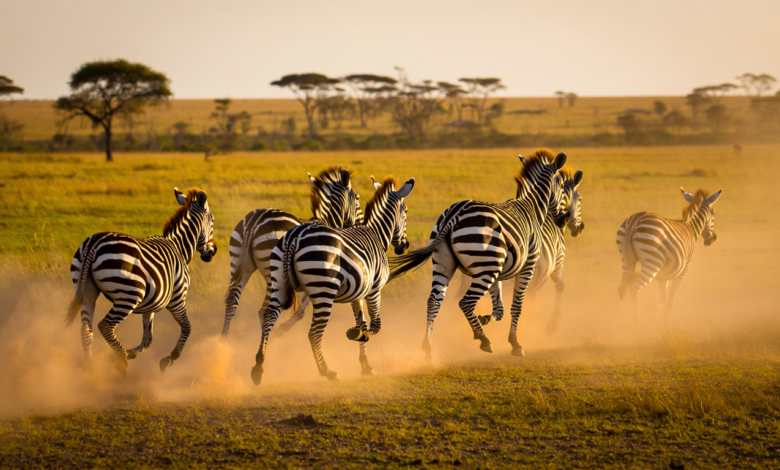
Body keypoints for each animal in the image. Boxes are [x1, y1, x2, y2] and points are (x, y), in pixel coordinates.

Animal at [66, 188, 217, 376]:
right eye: (212, 220)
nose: (213, 252)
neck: (180, 249)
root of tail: (94, 243)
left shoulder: (150, 305)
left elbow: (147, 339)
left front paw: (129, 353)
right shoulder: (178, 298)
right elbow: (187, 326)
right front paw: (169, 359)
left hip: (87, 289)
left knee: (86, 330)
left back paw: (91, 368)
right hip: (128, 295)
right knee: (105, 325)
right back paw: (121, 360)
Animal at [222, 167, 362, 337]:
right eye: (357, 198)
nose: (360, 224)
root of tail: (255, 221)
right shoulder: (317, 274)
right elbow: (301, 311)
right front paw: (283, 329)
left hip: (240, 264)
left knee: (232, 302)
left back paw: (223, 340)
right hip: (273, 272)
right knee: (264, 310)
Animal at [250, 176, 415, 385]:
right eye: (406, 211)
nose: (405, 246)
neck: (377, 234)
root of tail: (295, 236)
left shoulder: (357, 293)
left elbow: (362, 322)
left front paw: (365, 363)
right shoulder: (374, 289)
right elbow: (376, 324)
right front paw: (360, 337)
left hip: (279, 282)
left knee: (268, 316)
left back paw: (259, 367)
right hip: (324, 291)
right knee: (314, 333)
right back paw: (327, 371)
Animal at [389, 149, 568, 359]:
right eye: (562, 186)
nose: (563, 220)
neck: (532, 207)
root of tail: (454, 214)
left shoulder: (498, 271)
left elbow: (499, 309)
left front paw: (484, 319)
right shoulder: (527, 266)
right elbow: (516, 306)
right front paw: (515, 344)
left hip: (445, 264)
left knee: (433, 301)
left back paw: (428, 347)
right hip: (485, 269)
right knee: (466, 302)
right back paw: (484, 340)